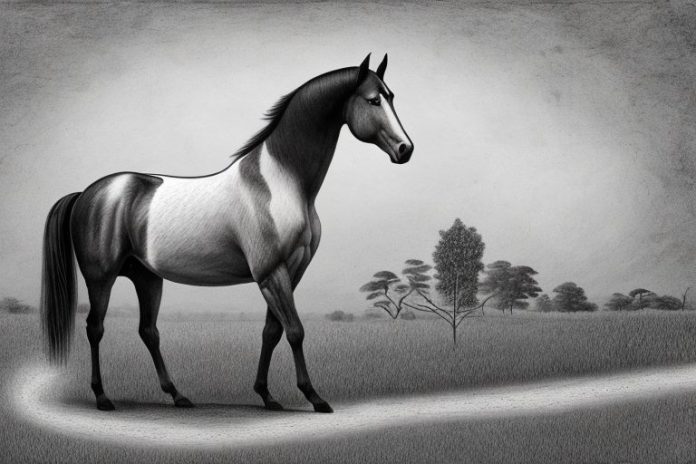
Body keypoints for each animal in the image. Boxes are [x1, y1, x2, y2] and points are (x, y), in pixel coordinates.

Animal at [40, 53, 413, 413]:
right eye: (373, 100)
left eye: (392, 97)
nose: (405, 150)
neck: (279, 183)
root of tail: (88, 193)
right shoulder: (270, 272)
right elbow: (294, 331)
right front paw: (315, 398)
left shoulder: (291, 270)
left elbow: (271, 332)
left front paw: (267, 396)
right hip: (100, 277)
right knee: (95, 328)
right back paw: (103, 398)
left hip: (146, 277)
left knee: (148, 331)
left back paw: (178, 396)